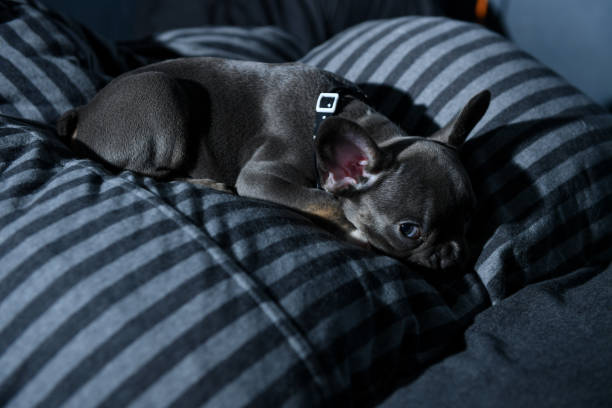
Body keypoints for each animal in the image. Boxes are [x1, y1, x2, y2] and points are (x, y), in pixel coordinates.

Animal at [56, 55, 488, 270]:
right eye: (410, 231)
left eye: (470, 219)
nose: (455, 254)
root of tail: (83, 111)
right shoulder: (261, 177)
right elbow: (327, 201)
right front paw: (354, 230)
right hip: (165, 97)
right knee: (146, 174)